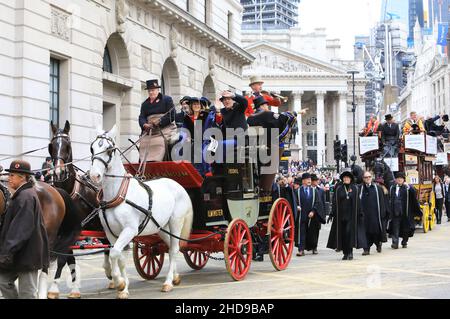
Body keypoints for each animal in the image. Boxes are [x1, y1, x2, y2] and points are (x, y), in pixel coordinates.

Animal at [89, 125, 192, 300]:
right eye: (92, 148)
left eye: (109, 149)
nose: (94, 175)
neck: (118, 195)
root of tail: (177, 185)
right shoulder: (111, 233)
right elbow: (118, 256)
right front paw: (122, 286)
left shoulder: (130, 230)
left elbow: (114, 253)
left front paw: (119, 282)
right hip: (161, 227)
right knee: (172, 247)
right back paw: (176, 276)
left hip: (175, 222)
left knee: (173, 249)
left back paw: (168, 282)